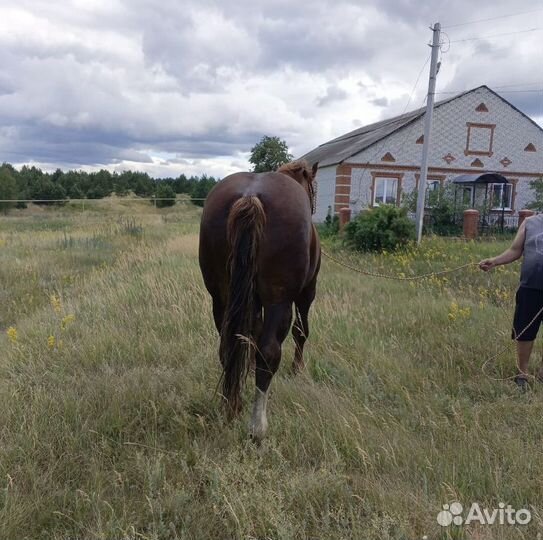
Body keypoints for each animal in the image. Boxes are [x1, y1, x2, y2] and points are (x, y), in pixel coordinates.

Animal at [199, 158, 318, 440]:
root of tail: (250, 196)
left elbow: (252, 333)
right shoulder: (307, 293)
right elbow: (301, 331)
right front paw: (297, 369)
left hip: (221, 300)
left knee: (228, 347)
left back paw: (231, 407)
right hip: (279, 302)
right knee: (269, 354)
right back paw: (257, 428)